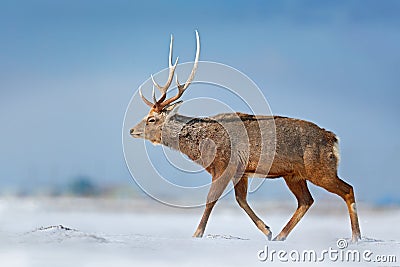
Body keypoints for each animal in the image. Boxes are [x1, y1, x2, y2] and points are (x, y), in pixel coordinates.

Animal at [130, 31, 362, 243]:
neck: (201, 145)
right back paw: (281, 235)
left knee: (347, 189)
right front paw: (267, 230)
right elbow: (240, 200)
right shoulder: (241, 170)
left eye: (151, 119)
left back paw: (355, 237)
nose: (132, 130)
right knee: (306, 200)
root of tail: (333, 139)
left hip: (319, 168)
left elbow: (211, 199)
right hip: (294, 174)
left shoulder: (225, 164)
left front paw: (197, 233)